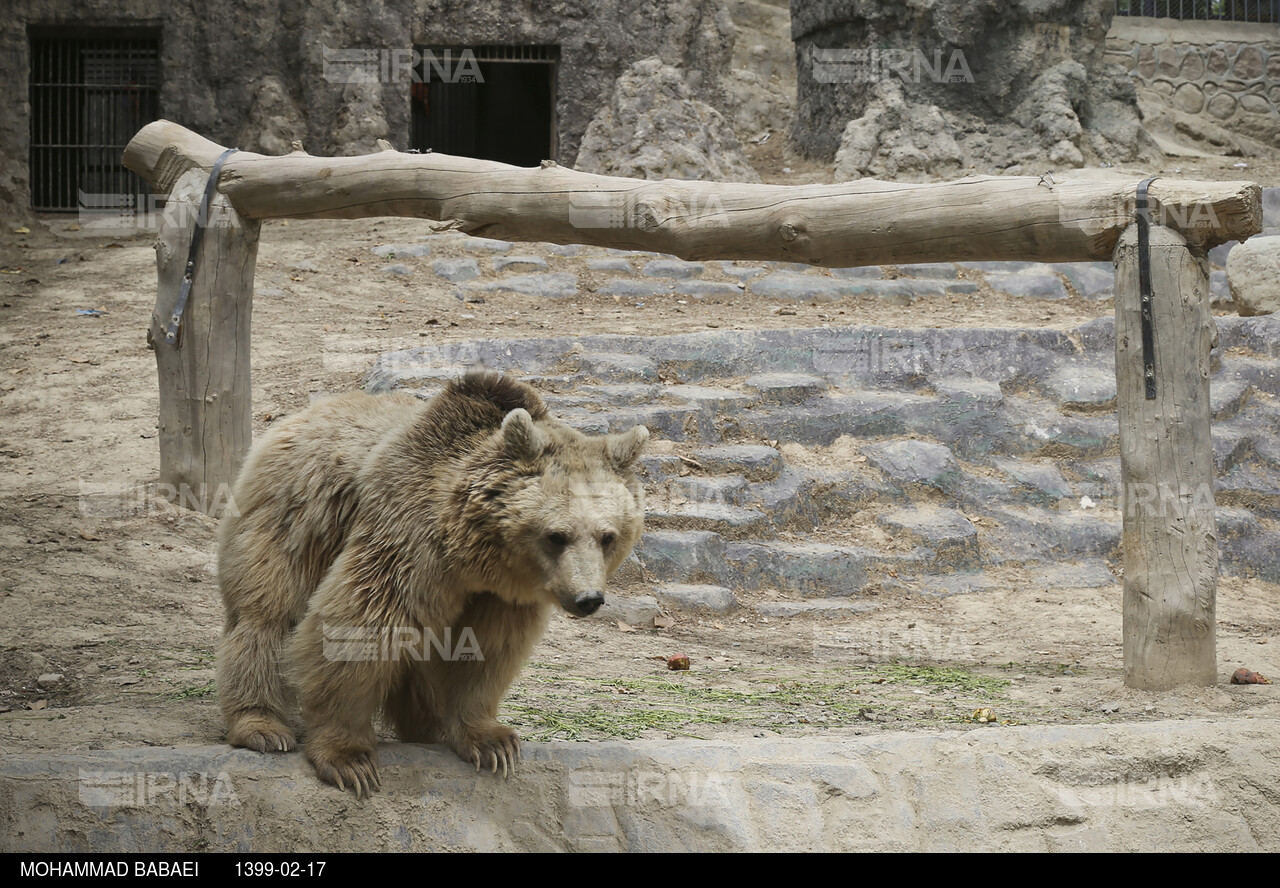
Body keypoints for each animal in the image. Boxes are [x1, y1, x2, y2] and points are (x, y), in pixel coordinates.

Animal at [217, 371, 650, 798]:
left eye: (607, 536)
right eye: (557, 535)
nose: (588, 599)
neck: (478, 554)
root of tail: (304, 413)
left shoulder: (499, 598)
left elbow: (486, 651)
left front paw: (492, 743)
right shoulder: (407, 539)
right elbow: (360, 628)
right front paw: (349, 759)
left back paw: (426, 727)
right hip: (294, 519)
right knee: (267, 616)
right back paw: (262, 725)